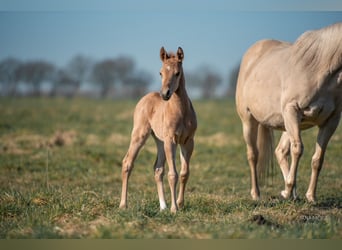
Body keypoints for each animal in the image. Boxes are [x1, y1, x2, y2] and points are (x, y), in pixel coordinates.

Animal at [119, 47, 196, 213]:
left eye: (177, 73)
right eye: (160, 72)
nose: (165, 94)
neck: (181, 111)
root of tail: (145, 98)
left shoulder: (187, 141)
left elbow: (184, 173)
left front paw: (180, 203)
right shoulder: (170, 140)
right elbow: (173, 174)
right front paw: (175, 208)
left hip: (159, 141)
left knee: (158, 169)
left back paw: (163, 206)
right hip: (140, 135)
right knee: (127, 163)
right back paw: (123, 204)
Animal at [236, 23, 340, 203]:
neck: (319, 68)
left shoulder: (331, 121)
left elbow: (318, 159)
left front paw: (310, 196)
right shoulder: (292, 110)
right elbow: (297, 149)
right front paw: (290, 187)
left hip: (288, 124)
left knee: (280, 151)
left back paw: (290, 193)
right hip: (250, 121)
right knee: (253, 154)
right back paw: (257, 194)